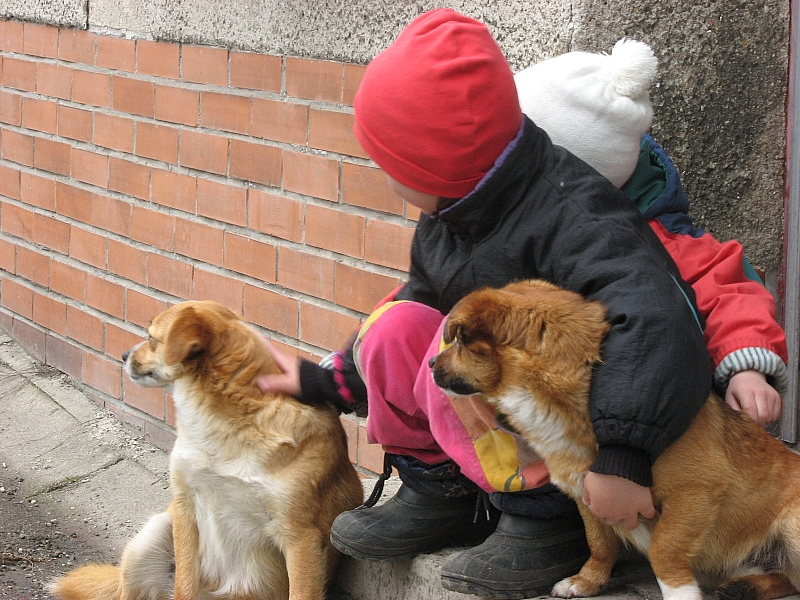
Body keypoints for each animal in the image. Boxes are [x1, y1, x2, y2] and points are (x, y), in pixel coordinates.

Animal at [50, 300, 363, 600]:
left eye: (152, 338)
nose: (124, 354)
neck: (225, 428)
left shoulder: (300, 536)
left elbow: (301, 591)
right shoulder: (185, 509)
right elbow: (184, 583)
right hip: (153, 534)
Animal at [429, 279, 800, 600]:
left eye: (460, 342)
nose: (431, 361)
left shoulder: (695, 491)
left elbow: (664, 549)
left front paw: (679, 593)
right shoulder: (587, 497)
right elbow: (599, 544)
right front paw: (587, 581)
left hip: (792, 526)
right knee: (788, 578)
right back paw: (745, 587)